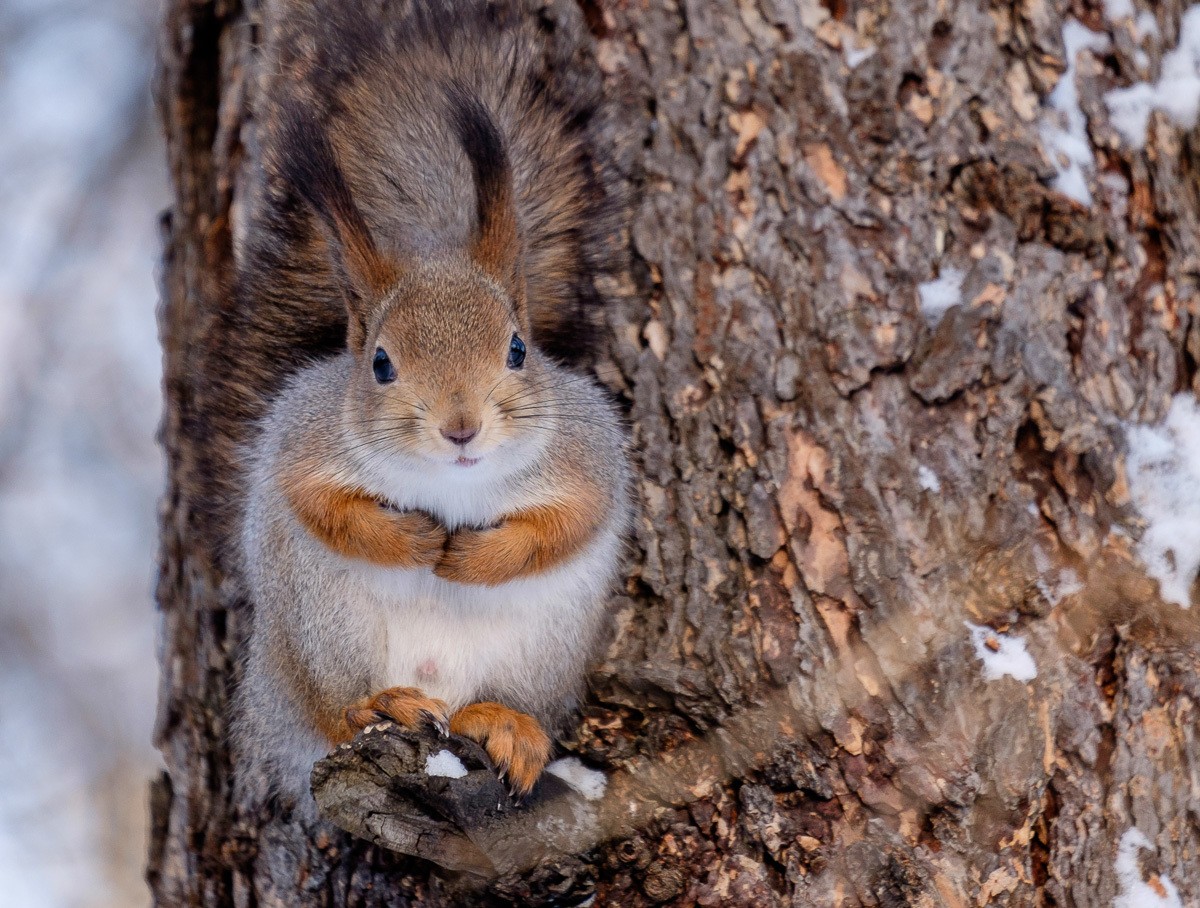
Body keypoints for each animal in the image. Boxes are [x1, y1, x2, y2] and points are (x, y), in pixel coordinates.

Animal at [228, 0, 633, 815]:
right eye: (380, 364)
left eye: (518, 349)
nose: (461, 429)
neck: (452, 485)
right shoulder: (305, 438)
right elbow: (318, 503)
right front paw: (411, 540)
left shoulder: (587, 451)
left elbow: (570, 522)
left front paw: (475, 555)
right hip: (321, 632)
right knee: (336, 712)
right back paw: (380, 705)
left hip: (541, 649)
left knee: (490, 703)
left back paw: (503, 724)